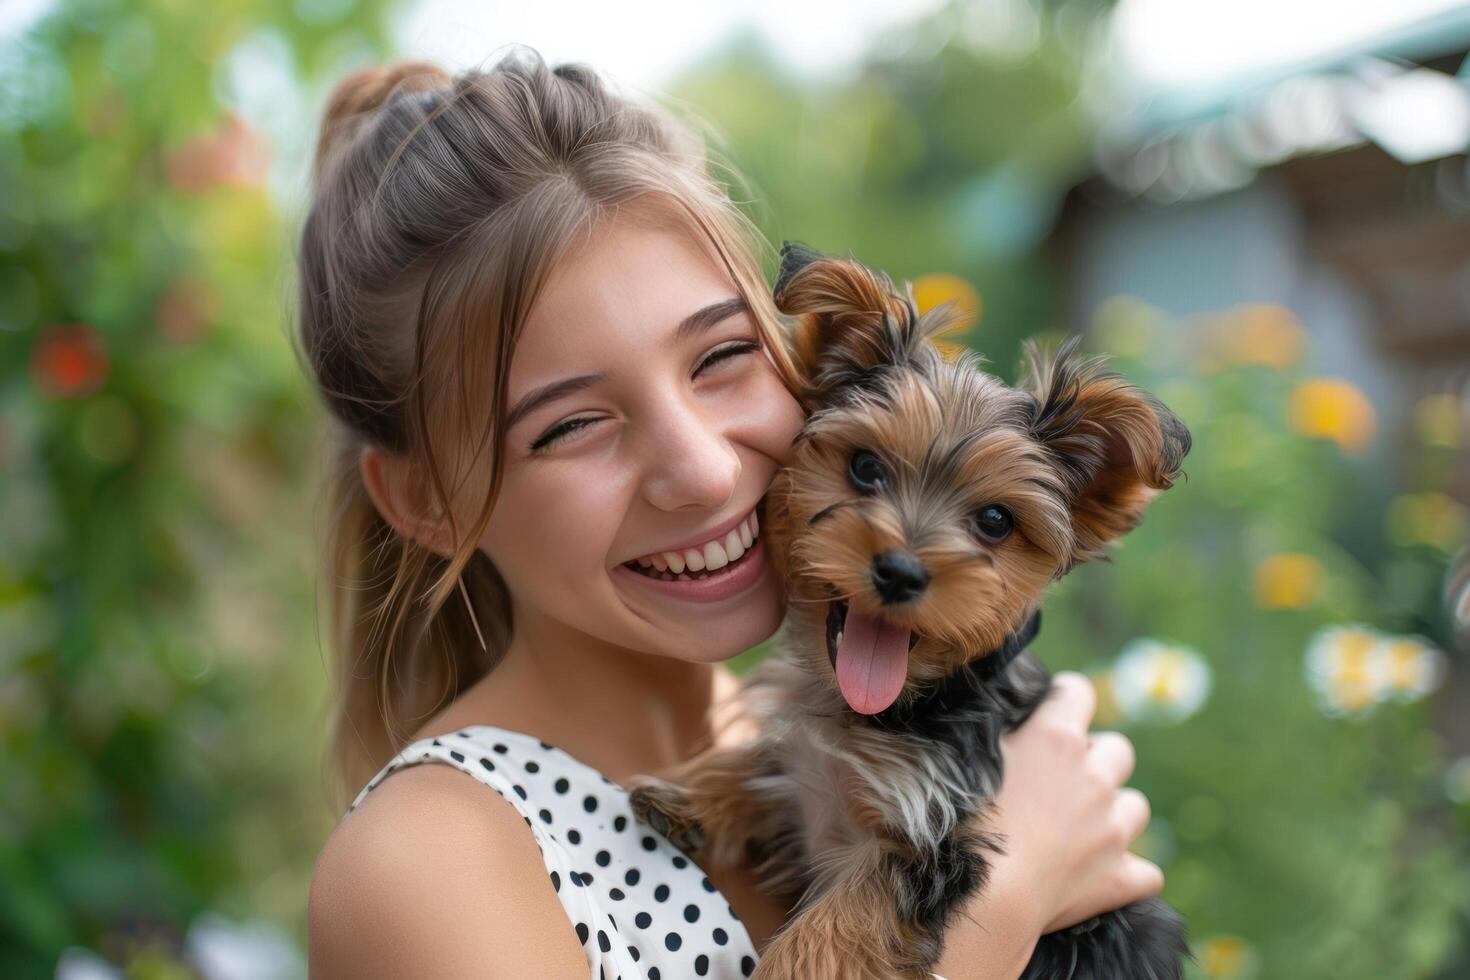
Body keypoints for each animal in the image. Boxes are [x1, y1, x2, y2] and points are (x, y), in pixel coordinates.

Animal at [629, 240, 1193, 975]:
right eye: (865, 467)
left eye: (994, 520)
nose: (899, 571)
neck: (891, 706)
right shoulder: (816, 776)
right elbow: (776, 757)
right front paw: (696, 791)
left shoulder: (927, 835)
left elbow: (835, 926)